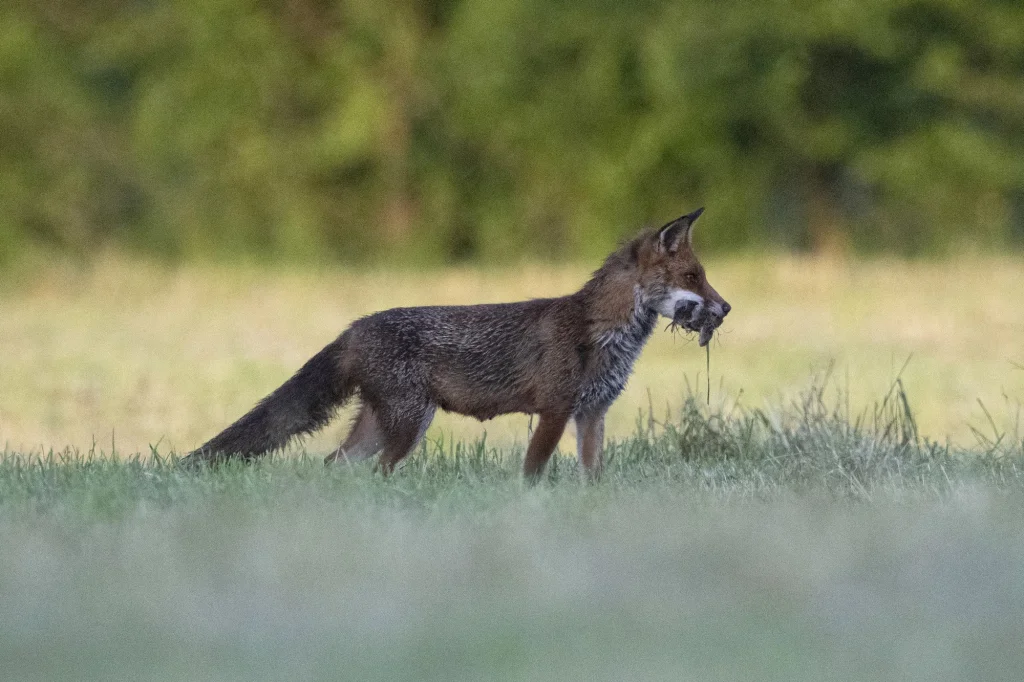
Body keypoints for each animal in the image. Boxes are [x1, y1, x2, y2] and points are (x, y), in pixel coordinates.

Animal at [181, 208, 731, 479]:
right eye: (693, 277)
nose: (725, 309)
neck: (602, 332)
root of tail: (354, 327)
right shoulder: (555, 409)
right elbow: (532, 472)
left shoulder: (592, 414)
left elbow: (593, 476)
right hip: (408, 425)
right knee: (377, 472)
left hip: (380, 427)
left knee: (334, 465)